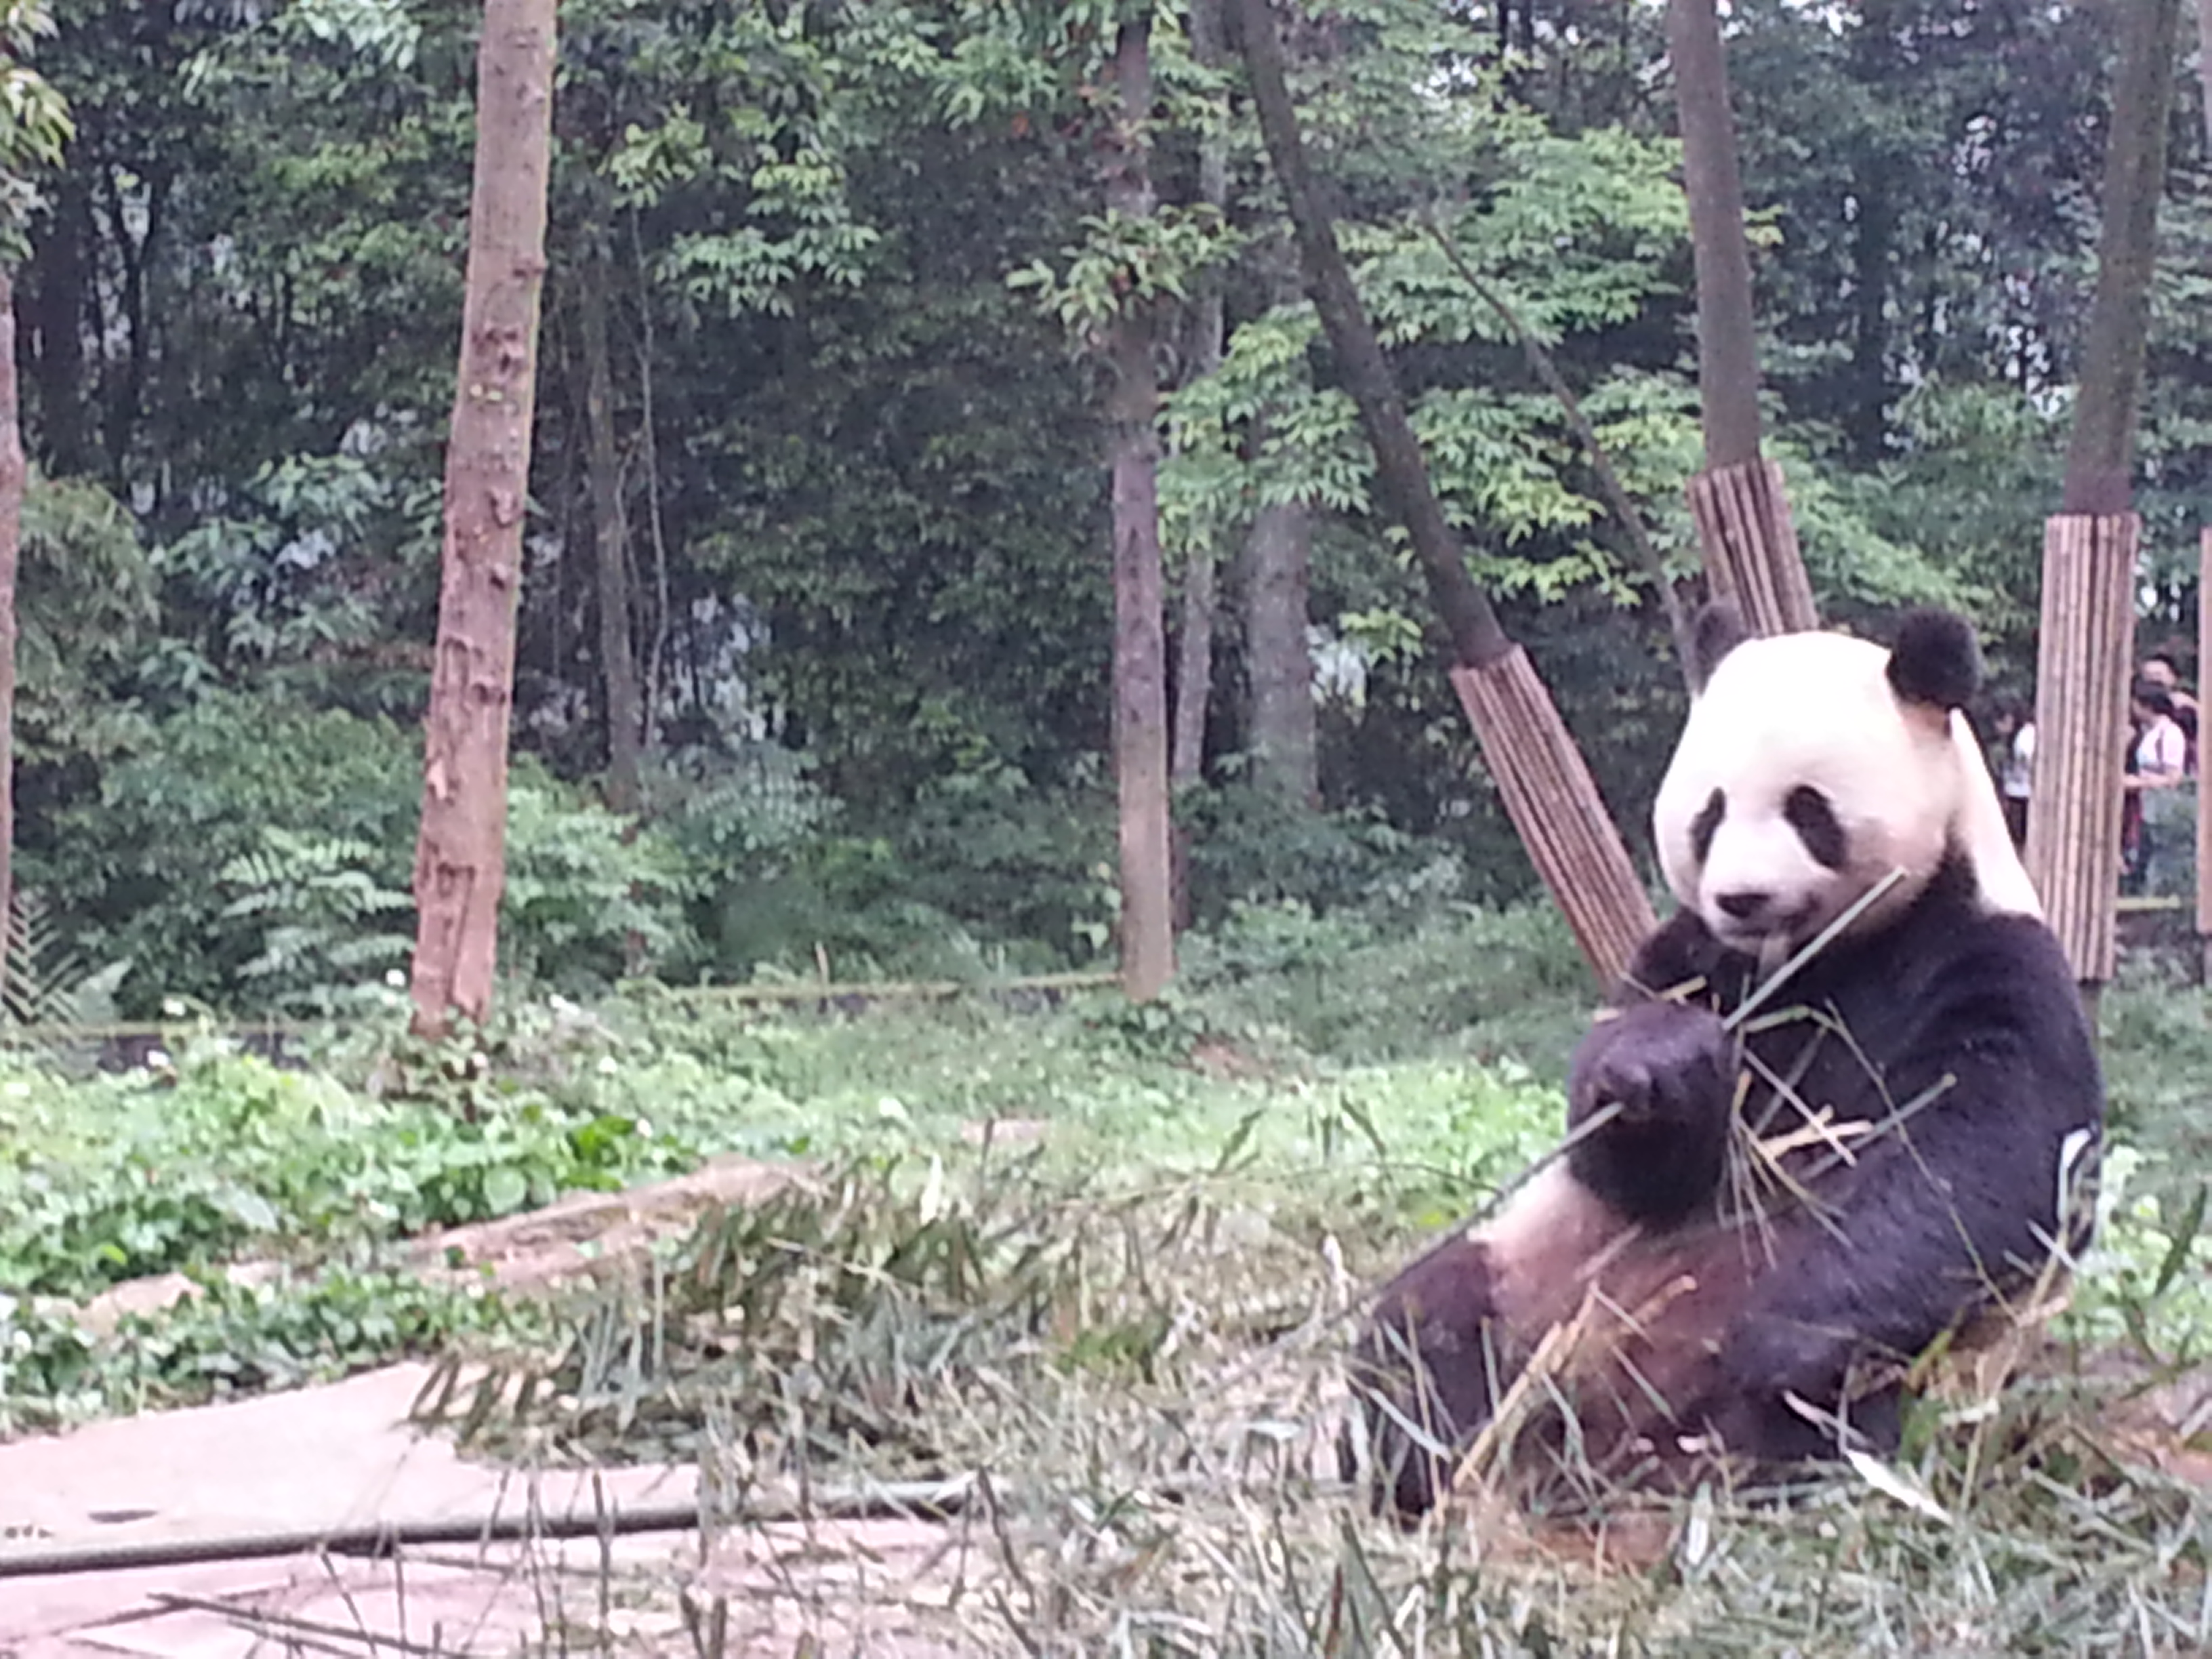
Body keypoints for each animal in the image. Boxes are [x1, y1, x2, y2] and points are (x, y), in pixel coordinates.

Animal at [1353, 606, 2097, 1521]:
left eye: (1808, 809)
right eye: (1709, 813)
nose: (1743, 899)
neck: (1817, 958)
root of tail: (1618, 1436)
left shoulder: (1987, 952)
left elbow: (1990, 1155)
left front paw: (1786, 1334)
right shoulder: (1690, 958)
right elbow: (1623, 1156)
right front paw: (1661, 1067)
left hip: (1926, 1362)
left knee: (1852, 1401)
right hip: (1543, 1282)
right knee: (1427, 1324)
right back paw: (1435, 1468)